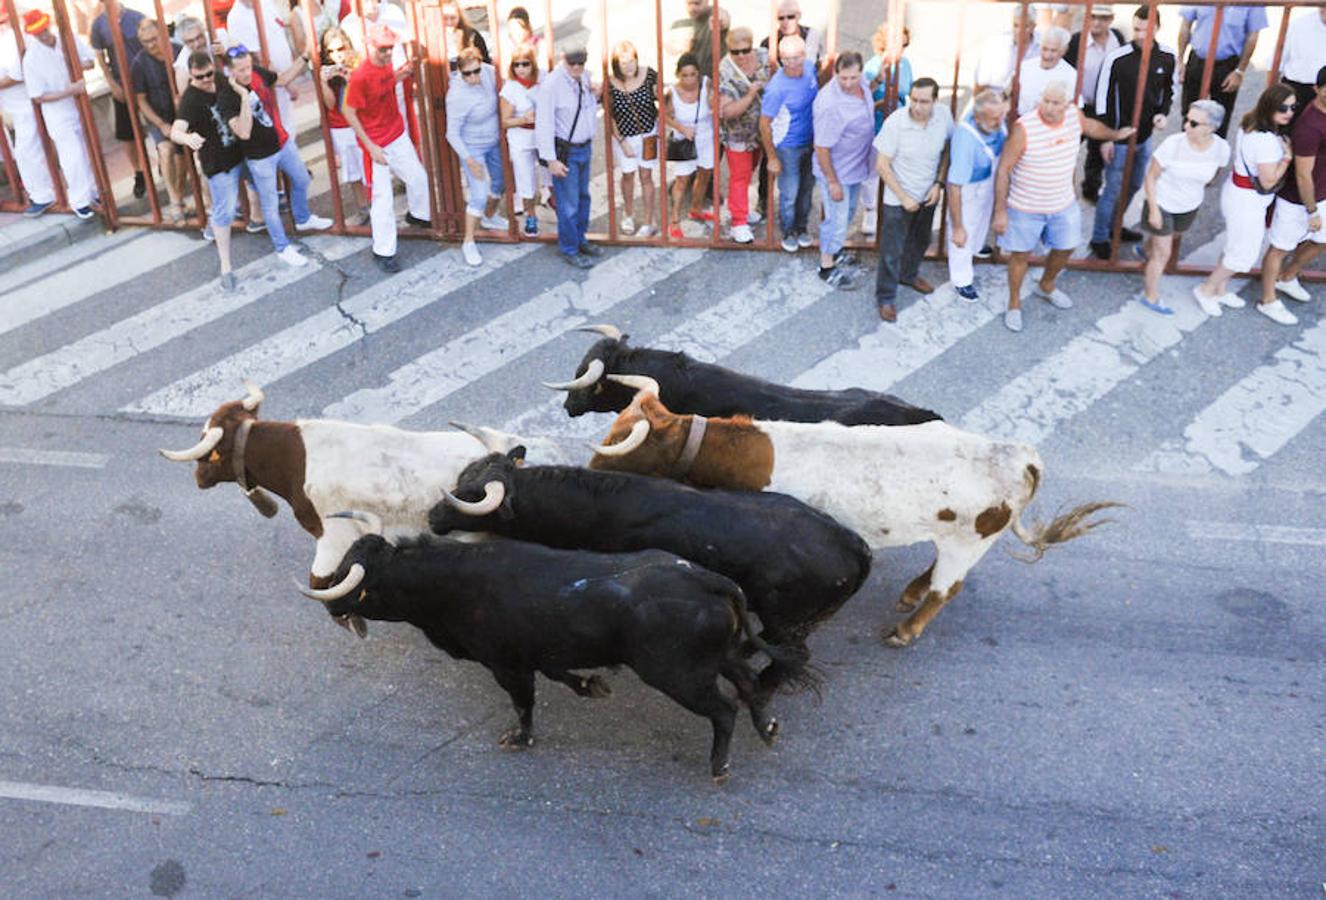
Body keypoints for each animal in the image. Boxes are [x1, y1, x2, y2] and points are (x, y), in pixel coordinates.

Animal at [591, 373, 1119, 646]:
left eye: (618, 443)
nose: (591, 468)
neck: (749, 452)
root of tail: (1016, 453)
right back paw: (911, 592)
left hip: (969, 542)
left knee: (948, 588)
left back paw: (906, 628)